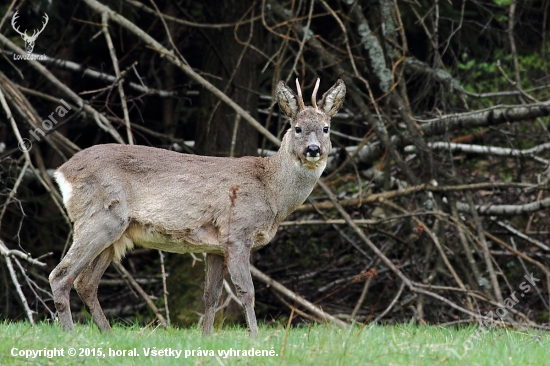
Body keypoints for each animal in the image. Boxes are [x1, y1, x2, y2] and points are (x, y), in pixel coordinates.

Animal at [50, 78, 344, 338]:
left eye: (326, 128)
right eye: (297, 128)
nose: (313, 149)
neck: (272, 192)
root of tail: (62, 172)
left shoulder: (215, 246)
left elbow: (210, 296)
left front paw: (206, 337)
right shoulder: (237, 232)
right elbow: (247, 292)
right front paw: (255, 338)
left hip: (116, 234)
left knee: (86, 282)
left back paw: (108, 335)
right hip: (100, 218)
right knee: (61, 275)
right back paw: (70, 334)